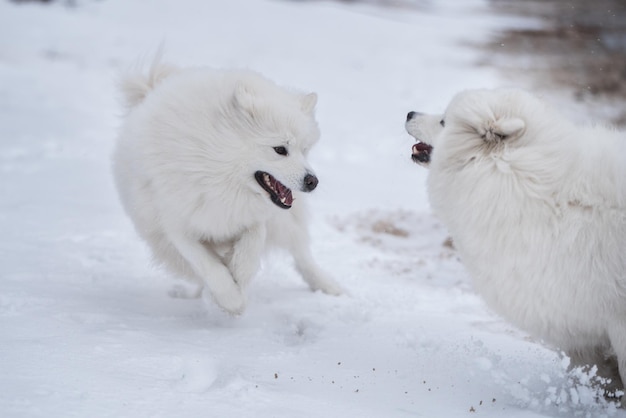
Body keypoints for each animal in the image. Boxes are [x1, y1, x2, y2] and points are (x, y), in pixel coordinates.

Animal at [112, 58, 342, 314]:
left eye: (305, 150)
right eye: (280, 149)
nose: (313, 181)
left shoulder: (251, 216)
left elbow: (252, 245)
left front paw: (239, 274)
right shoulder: (177, 227)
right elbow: (208, 267)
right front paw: (232, 300)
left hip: (285, 223)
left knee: (302, 254)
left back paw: (328, 286)